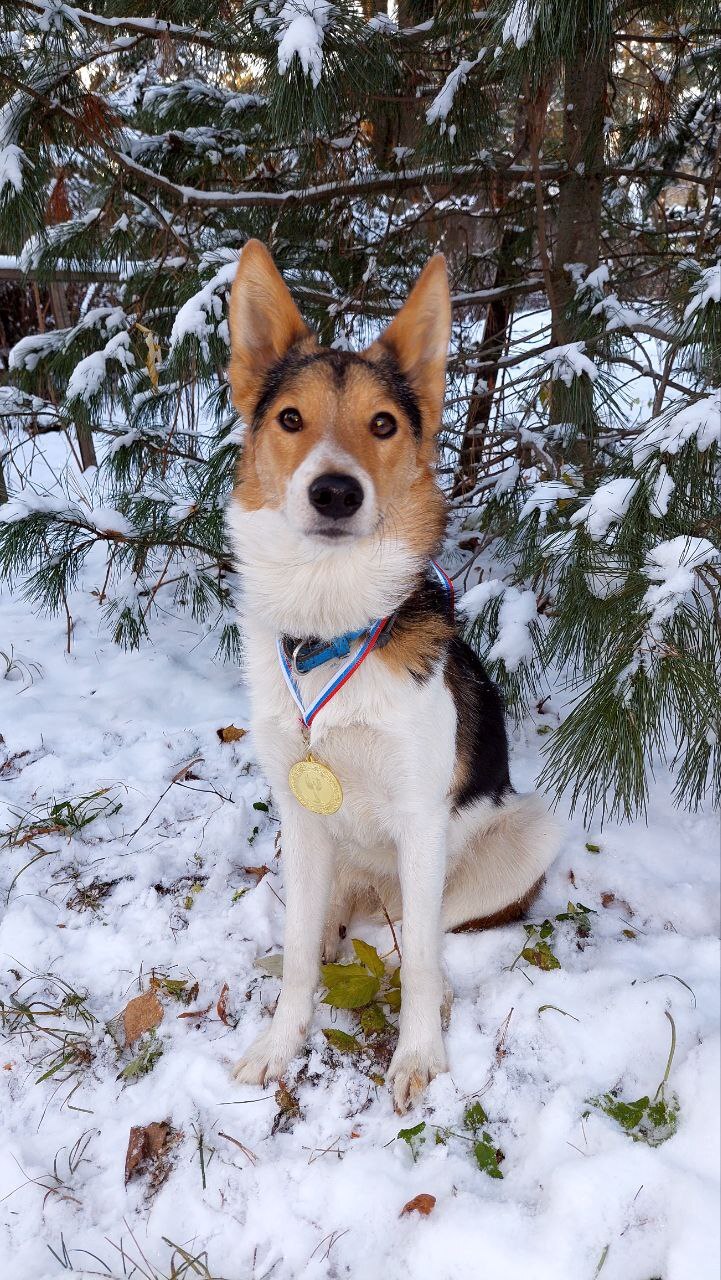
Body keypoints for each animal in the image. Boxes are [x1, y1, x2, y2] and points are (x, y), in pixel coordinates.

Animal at [226, 240, 563, 1111]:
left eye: (382, 424)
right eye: (290, 419)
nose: (334, 491)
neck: (331, 625)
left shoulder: (420, 818)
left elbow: (415, 967)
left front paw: (418, 1056)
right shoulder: (300, 812)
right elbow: (299, 957)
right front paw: (281, 1042)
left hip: (522, 831)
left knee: (419, 935)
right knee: (336, 927)